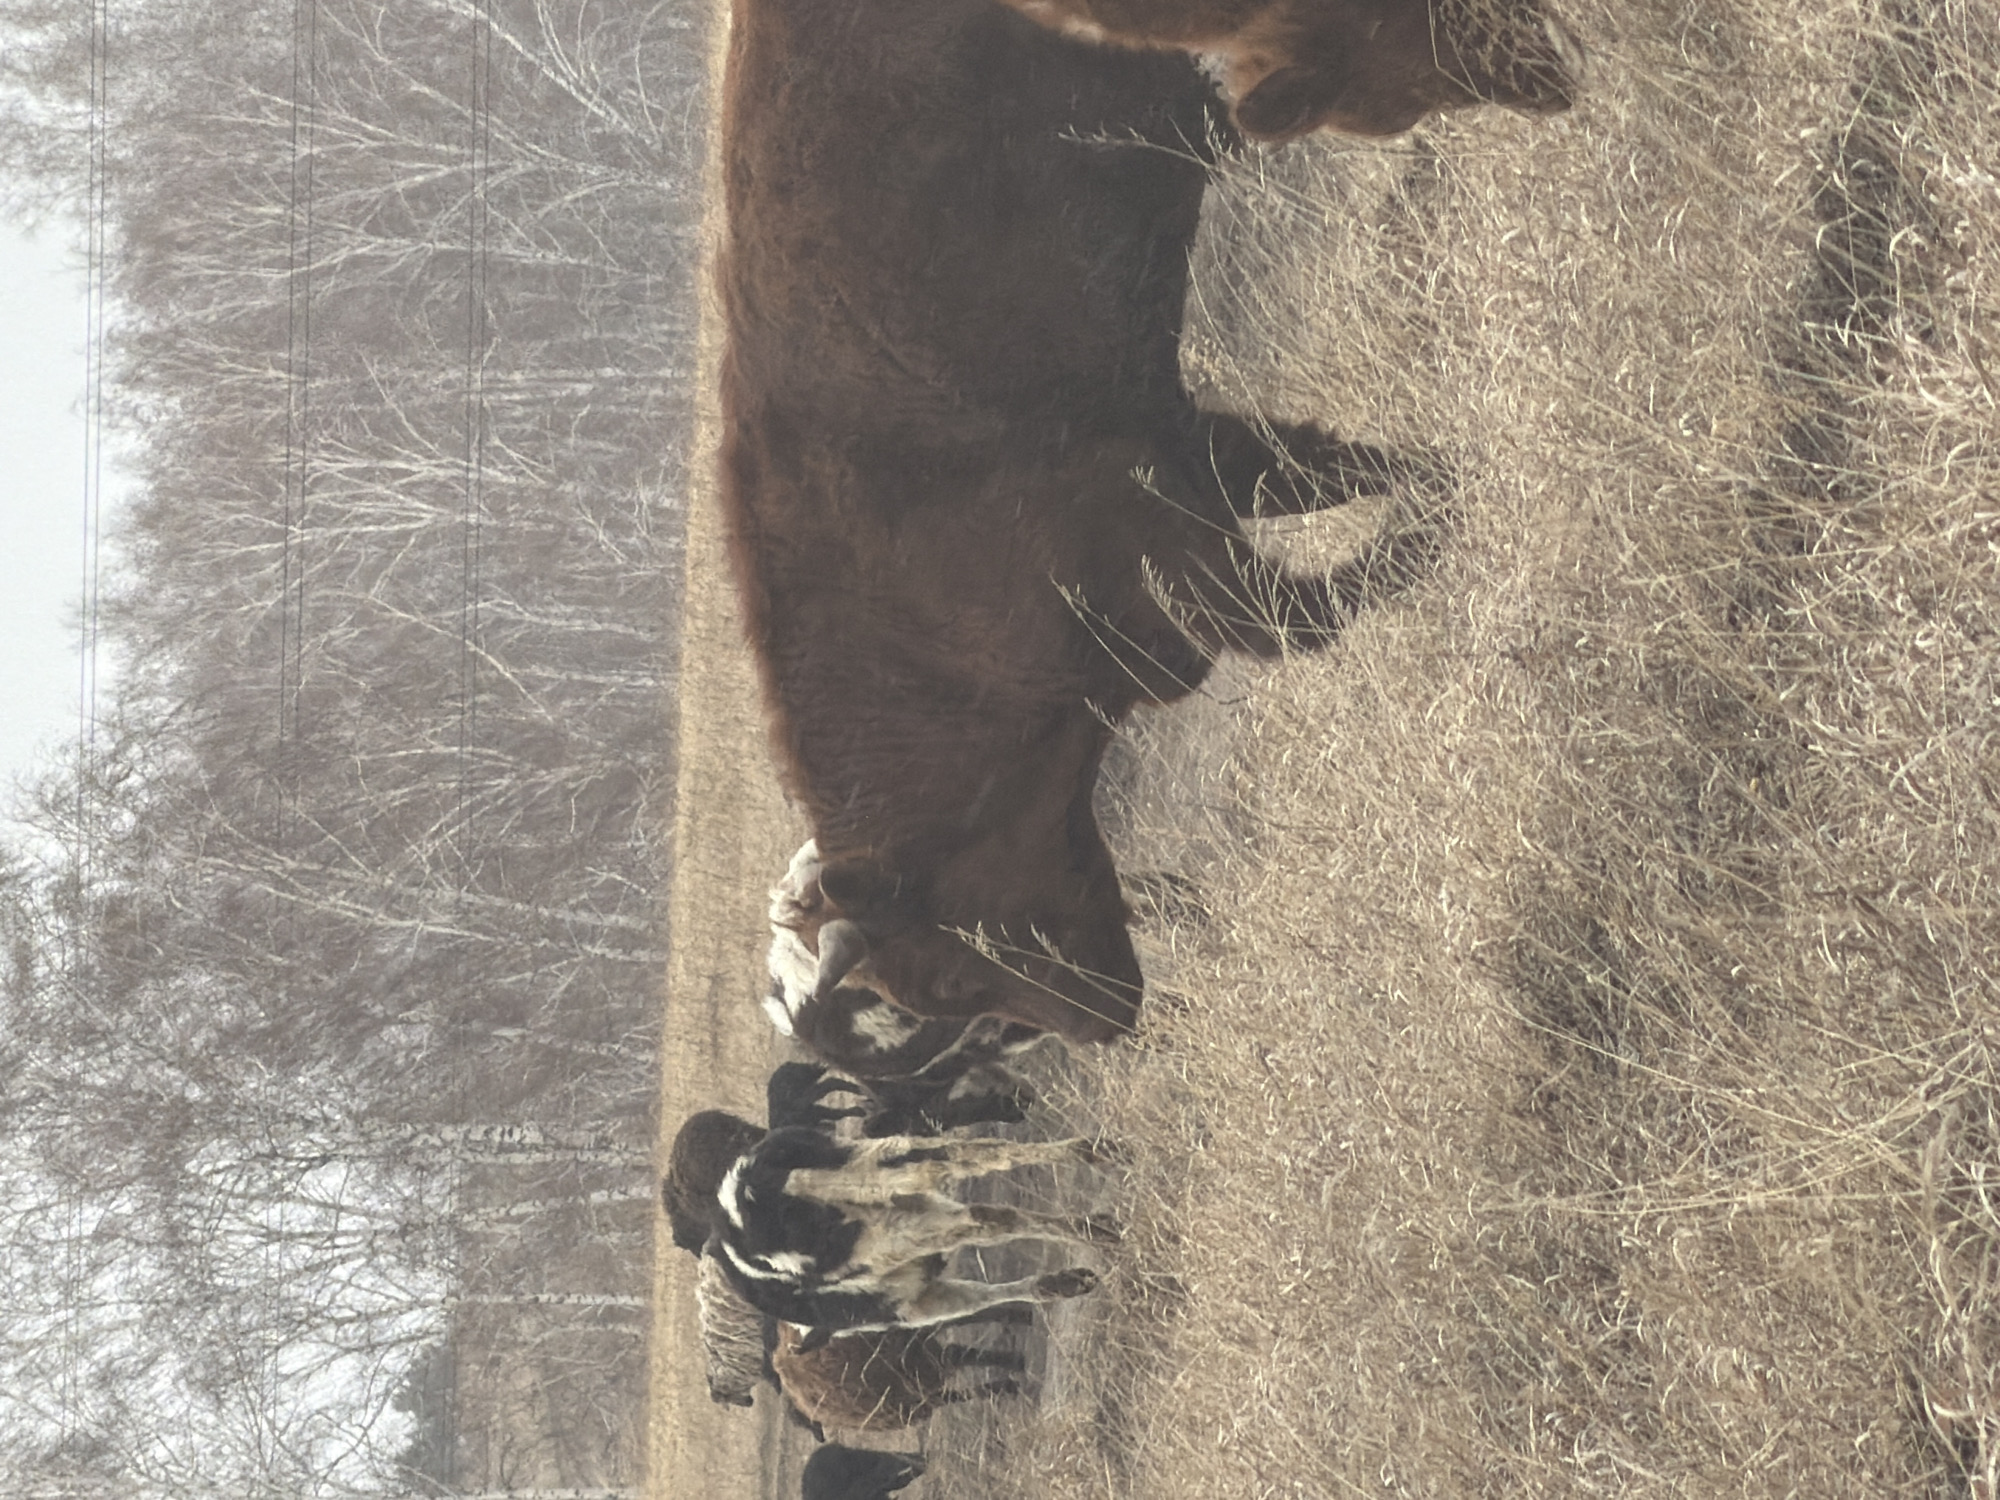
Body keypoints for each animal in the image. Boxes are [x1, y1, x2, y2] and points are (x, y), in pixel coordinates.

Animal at [663, 1111, 1117, 1337]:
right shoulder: (921, 1298)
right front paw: (1066, 1281)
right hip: (890, 1170)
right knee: (978, 1164)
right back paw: (1096, 1172)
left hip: (893, 1206)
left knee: (983, 1200)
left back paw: (1096, 1210)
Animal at [721, 0, 1445, 1045]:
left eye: (962, 966)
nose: (1106, 1024)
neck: (920, 629)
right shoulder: (1183, 453)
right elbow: (1322, 472)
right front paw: (1448, 473)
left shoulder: (1153, 535)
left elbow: (1298, 618)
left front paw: (1444, 536)